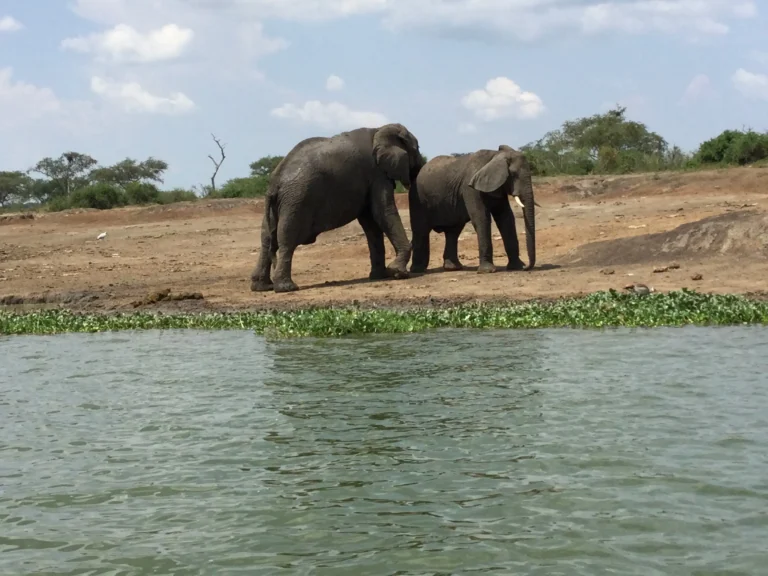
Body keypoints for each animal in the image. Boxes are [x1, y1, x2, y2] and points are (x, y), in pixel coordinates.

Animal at [250, 123, 425, 293]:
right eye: (416, 149)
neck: (379, 129)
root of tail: (274, 182)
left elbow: (371, 223)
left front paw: (379, 276)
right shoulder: (377, 173)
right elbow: (383, 212)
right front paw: (397, 273)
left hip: (280, 205)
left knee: (266, 238)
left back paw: (262, 287)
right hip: (296, 199)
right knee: (287, 237)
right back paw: (286, 288)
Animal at [408, 145, 536, 274]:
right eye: (513, 174)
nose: (526, 268)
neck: (495, 155)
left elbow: (506, 218)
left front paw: (517, 267)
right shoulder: (470, 188)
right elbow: (481, 218)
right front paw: (487, 271)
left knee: (453, 231)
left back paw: (453, 268)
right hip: (417, 198)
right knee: (421, 230)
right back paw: (418, 270)